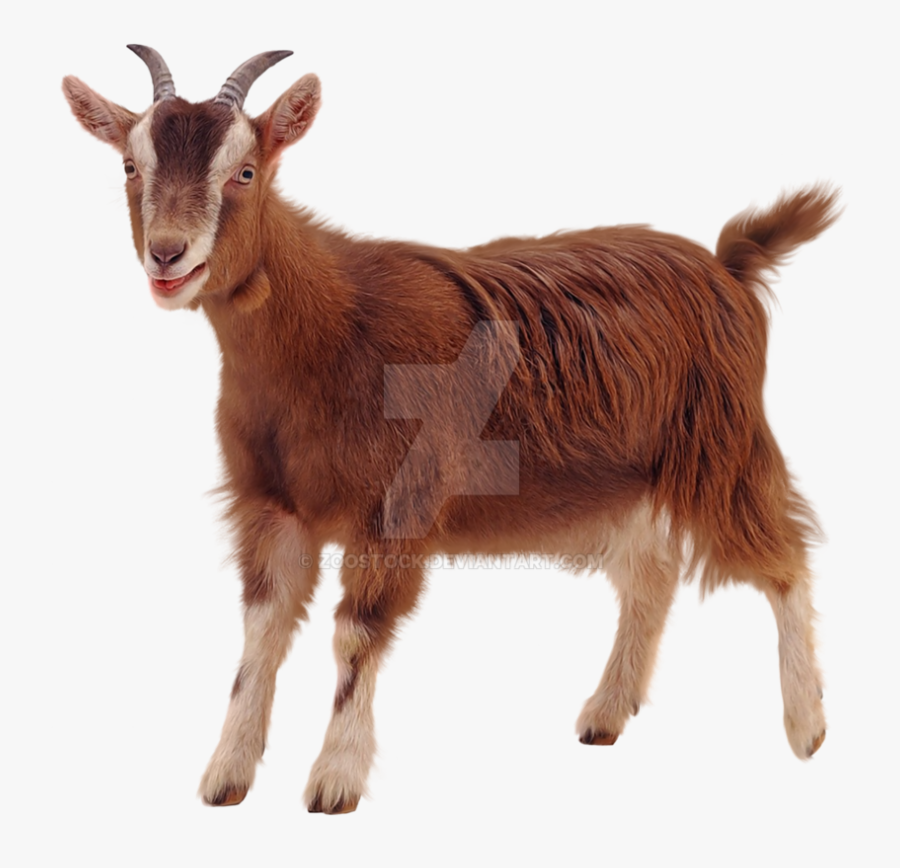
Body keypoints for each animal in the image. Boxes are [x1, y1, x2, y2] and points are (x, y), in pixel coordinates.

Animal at [63, 46, 838, 813]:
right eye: (130, 166)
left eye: (246, 172)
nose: (168, 254)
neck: (328, 332)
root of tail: (729, 267)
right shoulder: (269, 504)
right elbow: (261, 634)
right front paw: (227, 773)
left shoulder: (395, 505)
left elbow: (355, 635)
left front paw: (335, 779)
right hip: (621, 481)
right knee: (652, 575)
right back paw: (607, 713)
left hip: (722, 446)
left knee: (785, 557)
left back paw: (807, 726)